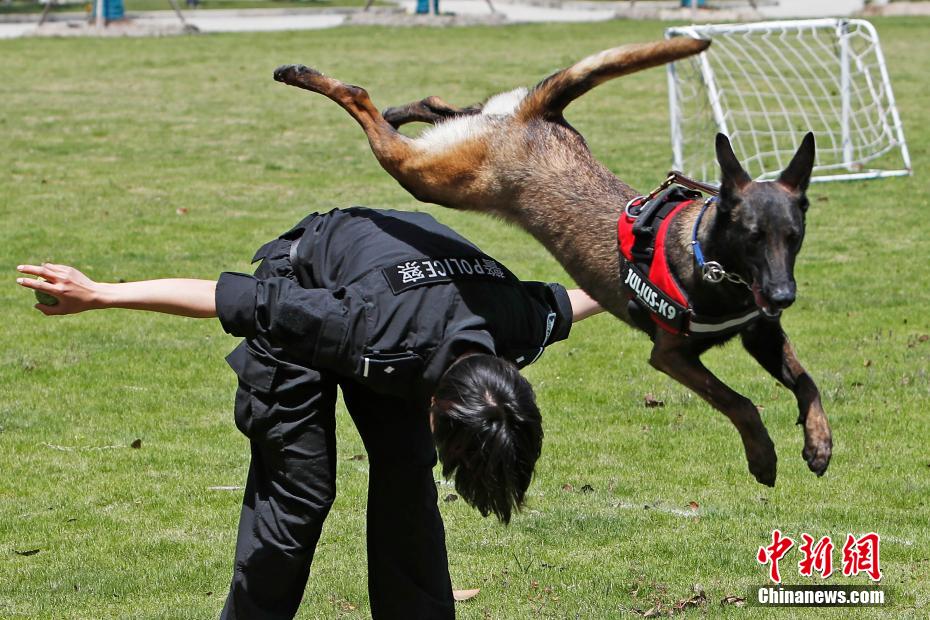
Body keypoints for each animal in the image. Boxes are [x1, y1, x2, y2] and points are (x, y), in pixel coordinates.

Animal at [272, 38, 832, 486]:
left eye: (794, 237)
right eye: (753, 238)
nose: (784, 296)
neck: (708, 255)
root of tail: (534, 119)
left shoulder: (761, 334)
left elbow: (806, 381)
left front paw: (818, 443)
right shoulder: (671, 355)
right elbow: (739, 401)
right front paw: (763, 456)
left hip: (450, 150)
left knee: (438, 105)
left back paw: (392, 108)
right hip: (427, 176)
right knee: (360, 97)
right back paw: (299, 75)